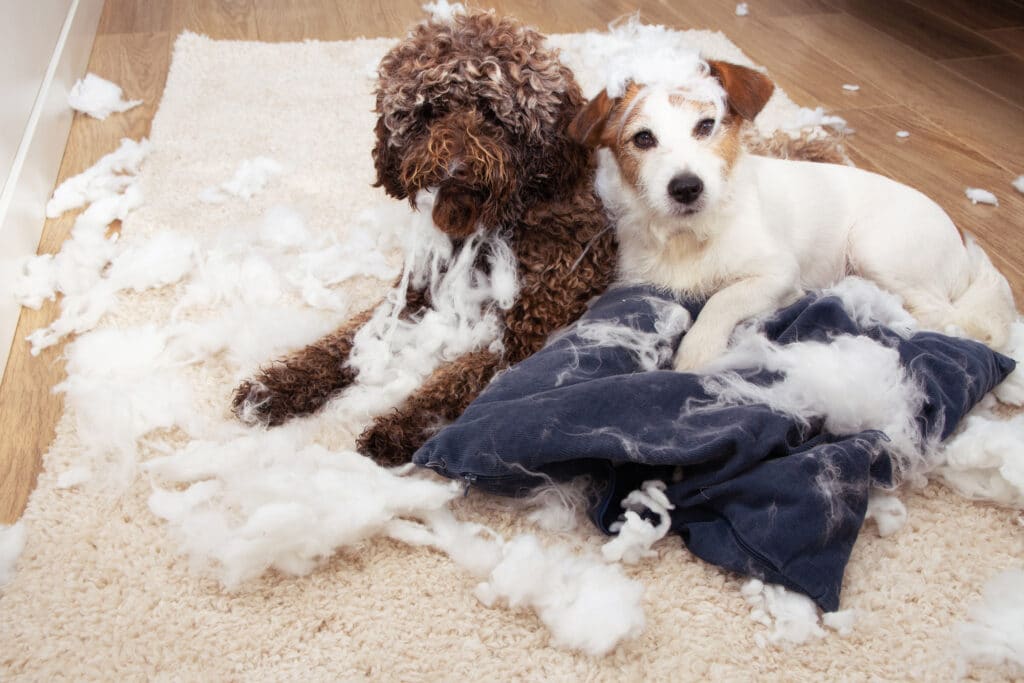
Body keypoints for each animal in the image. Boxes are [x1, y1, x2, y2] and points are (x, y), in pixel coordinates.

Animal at [234, 7, 847, 466]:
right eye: (428, 110)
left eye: (492, 112)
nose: (454, 166)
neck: (507, 218)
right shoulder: (414, 293)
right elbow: (338, 344)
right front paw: (276, 388)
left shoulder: (527, 333)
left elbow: (453, 379)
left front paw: (398, 425)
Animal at [569, 62, 1015, 374]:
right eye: (643, 138)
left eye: (706, 126)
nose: (686, 187)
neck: (689, 235)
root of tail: (963, 245)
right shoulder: (638, 280)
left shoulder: (777, 272)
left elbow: (723, 298)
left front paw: (698, 348)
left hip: (874, 248)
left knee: (941, 317)